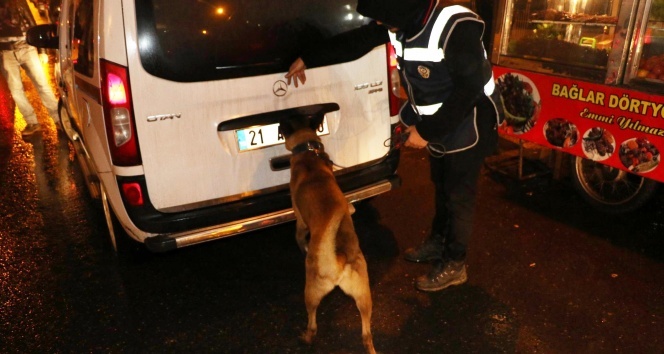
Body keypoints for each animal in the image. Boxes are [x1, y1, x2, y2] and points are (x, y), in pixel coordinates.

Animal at [278, 115, 376, 352]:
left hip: (311, 293)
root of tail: (338, 262)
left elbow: (298, 236)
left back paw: (306, 337)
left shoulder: (300, 221)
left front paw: (302, 247)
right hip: (364, 297)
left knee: (313, 322)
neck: (309, 155)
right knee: (366, 335)